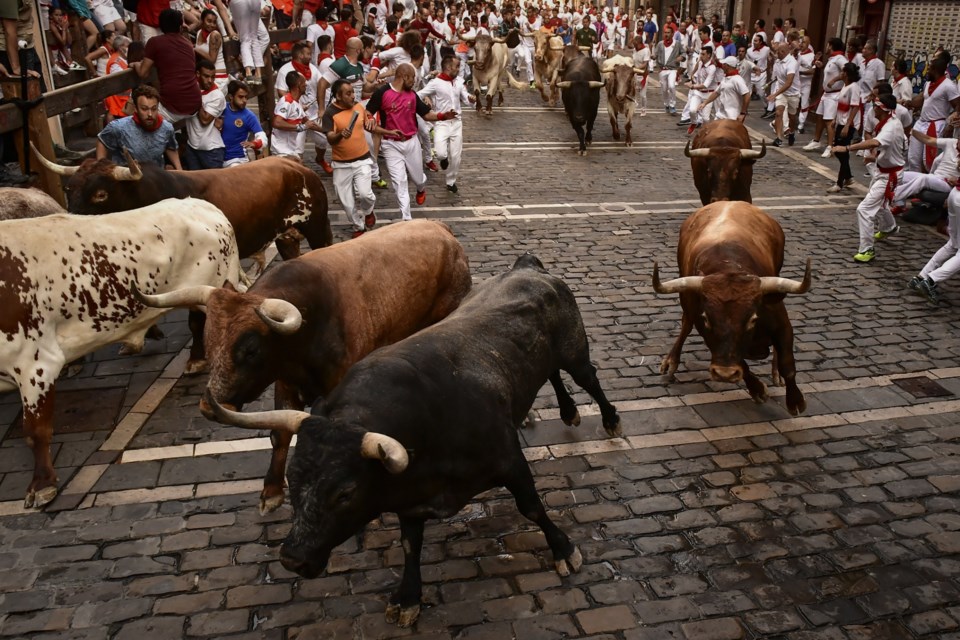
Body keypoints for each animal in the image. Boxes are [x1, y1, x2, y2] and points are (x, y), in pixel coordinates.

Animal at [139, 220, 472, 516]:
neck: (309, 329)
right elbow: (279, 434)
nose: (209, 407)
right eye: (208, 341)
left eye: (251, 350)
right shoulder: (285, 384)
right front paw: (271, 492)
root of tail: (440, 228)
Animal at [204, 252, 624, 628]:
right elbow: (410, 546)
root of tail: (527, 267)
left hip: (575, 351)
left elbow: (533, 508)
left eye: (345, 492)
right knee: (551, 374)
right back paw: (568, 411)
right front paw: (407, 598)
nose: (292, 558)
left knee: (589, 379)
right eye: (293, 481)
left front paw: (564, 550)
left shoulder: (510, 461)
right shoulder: (408, 500)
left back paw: (610, 421)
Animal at [652, 202, 808, 418]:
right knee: (685, 324)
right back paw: (671, 361)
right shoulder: (705, 329)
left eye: (752, 319)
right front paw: (757, 390)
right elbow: (742, 363)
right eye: (707, 319)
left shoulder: (782, 324)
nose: (724, 374)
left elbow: (788, 364)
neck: (728, 267)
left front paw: (795, 401)